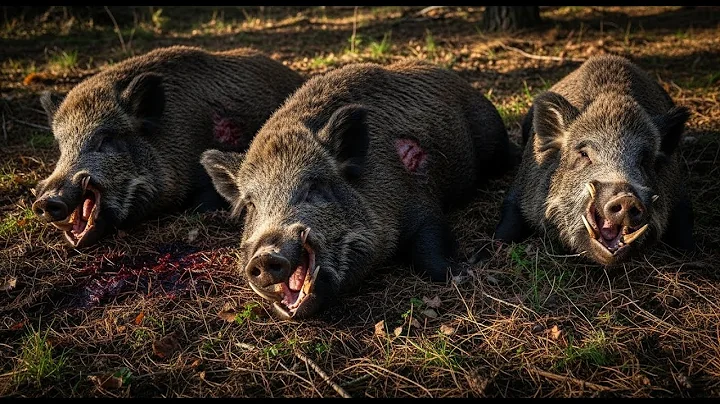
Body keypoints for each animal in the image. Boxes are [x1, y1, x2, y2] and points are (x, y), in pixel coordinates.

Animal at [201, 59, 511, 319]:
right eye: (251, 205)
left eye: (313, 188)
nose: (265, 256)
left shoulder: (420, 202)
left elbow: (430, 253)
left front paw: (470, 265)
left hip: (493, 138)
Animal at [494, 54, 695, 266]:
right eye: (584, 155)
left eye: (644, 160)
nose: (626, 197)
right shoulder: (520, 188)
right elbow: (508, 226)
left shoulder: (680, 194)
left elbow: (685, 236)